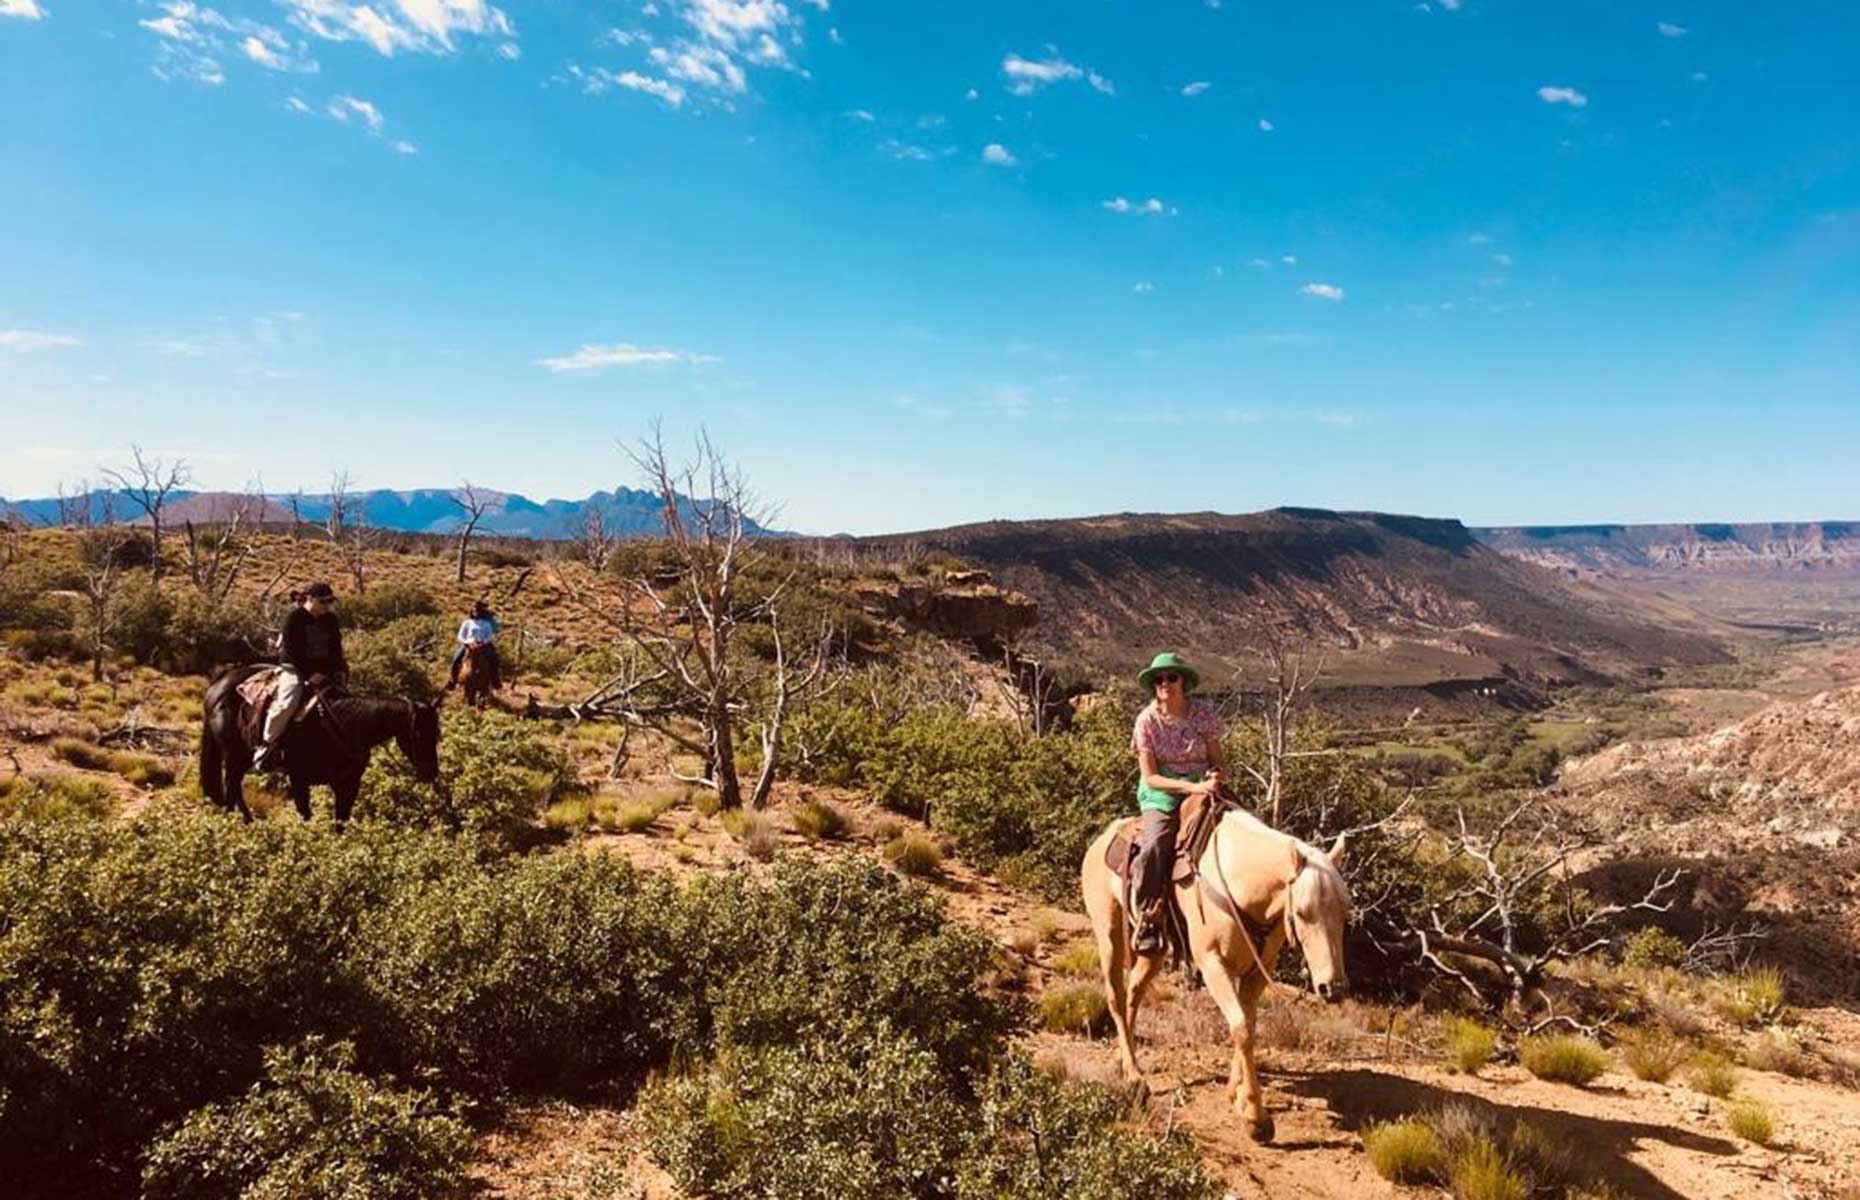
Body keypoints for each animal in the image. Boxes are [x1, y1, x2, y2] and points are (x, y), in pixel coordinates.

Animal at [198, 666, 440, 822]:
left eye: (436, 733)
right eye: (418, 733)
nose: (431, 773)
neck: (342, 724)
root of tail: (216, 686)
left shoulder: (347, 784)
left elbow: (340, 822)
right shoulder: (298, 779)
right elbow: (305, 816)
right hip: (233, 756)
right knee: (231, 790)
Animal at [1078, 811, 1354, 1138]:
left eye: (1345, 912)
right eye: (1302, 911)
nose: (1333, 988)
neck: (1240, 883)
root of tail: (1102, 839)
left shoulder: (1258, 971)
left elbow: (1248, 1025)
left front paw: (1237, 1094)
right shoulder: (1213, 965)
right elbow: (1241, 1027)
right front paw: (1256, 1118)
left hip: (1154, 950)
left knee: (1133, 993)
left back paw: (1124, 1060)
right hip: (1109, 934)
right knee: (1117, 998)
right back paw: (1135, 1078)